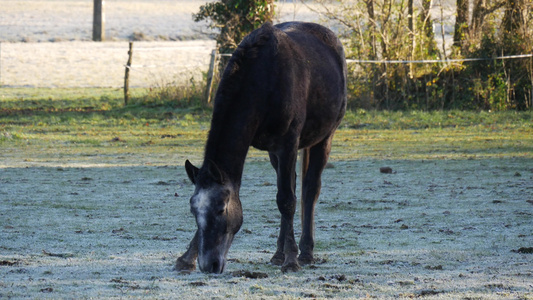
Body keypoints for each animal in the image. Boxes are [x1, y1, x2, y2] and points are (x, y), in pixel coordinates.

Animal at [175, 21, 348, 274]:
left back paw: (305, 252)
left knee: (309, 190)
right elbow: (285, 197)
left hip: (323, 139)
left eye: (221, 209)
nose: (209, 265)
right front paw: (187, 257)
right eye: (193, 211)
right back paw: (278, 253)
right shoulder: (275, 149)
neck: (264, 79)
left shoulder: (288, 144)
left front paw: (292, 259)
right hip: (276, 153)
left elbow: (287, 201)